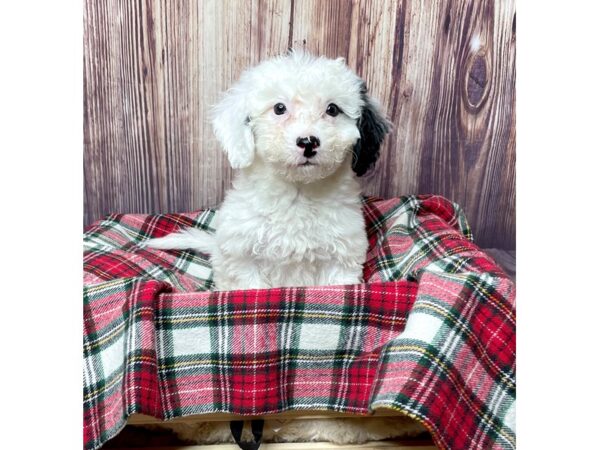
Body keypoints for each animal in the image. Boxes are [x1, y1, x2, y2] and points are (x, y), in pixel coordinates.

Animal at [146, 51, 390, 292]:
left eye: (332, 109)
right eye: (279, 108)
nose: (308, 141)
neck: (298, 193)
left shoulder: (341, 256)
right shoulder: (243, 257)